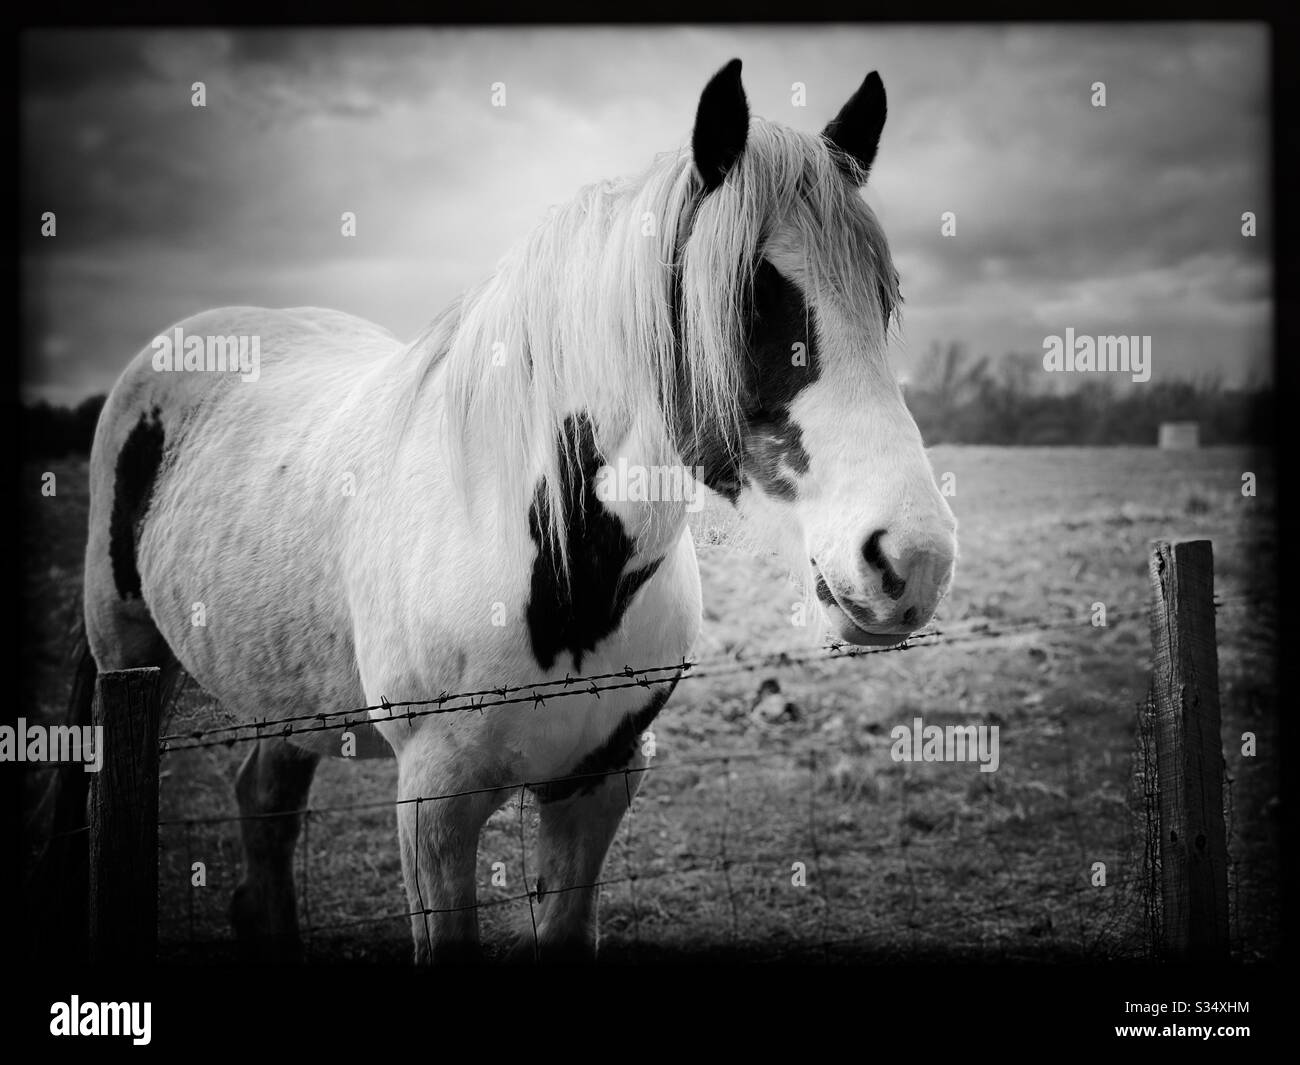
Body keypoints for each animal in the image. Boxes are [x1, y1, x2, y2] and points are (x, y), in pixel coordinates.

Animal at [71, 58, 957, 963]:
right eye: (752, 297)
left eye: (884, 299)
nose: (911, 558)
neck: (556, 568)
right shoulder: (434, 805)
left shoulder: (598, 781)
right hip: (128, 653)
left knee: (266, 809)